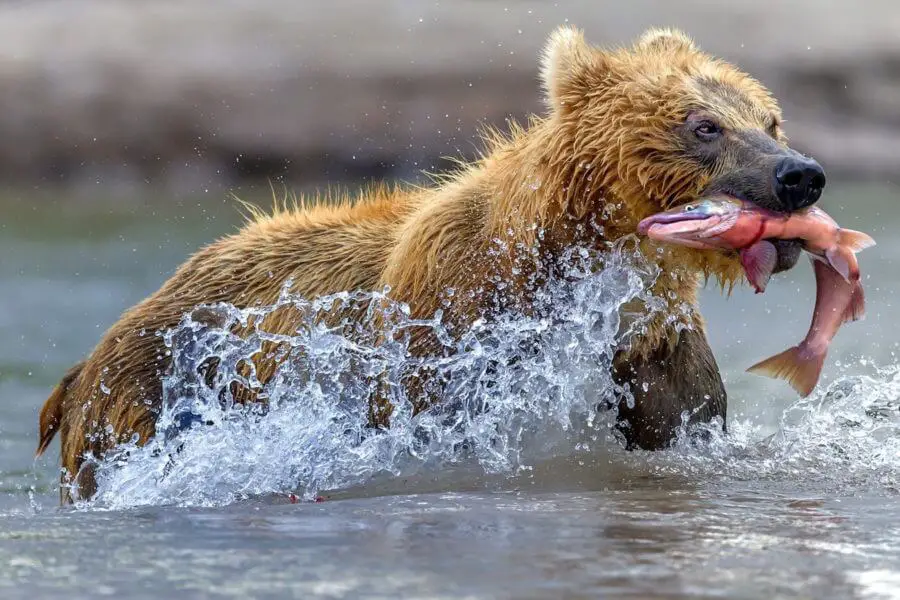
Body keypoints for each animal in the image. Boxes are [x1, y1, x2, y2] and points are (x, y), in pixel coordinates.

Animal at [37, 27, 824, 502]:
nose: (799, 175)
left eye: (769, 118)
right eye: (704, 125)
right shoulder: (448, 325)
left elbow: (681, 423)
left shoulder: (652, 341)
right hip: (147, 398)